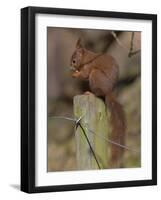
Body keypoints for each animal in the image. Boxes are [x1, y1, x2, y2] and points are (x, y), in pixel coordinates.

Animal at [70, 38, 126, 168]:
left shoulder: (88, 67)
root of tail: (108, 91)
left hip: (95, 74)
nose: (70, 66)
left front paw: (75, 74)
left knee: (98, 93)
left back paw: (90, 93)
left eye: (74, 60)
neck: (87, 59)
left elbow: (84, 75)